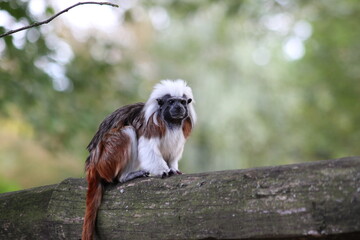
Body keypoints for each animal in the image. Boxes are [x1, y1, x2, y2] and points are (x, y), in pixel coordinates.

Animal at [81, 79, 195, 239]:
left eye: (182, 102)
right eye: (171, 102)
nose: (178, 107)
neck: (170, 123)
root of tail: (92, 164)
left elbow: (172, 153)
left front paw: (173, 168)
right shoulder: (151, 126)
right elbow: (148, 148)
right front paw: (163, 171)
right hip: (106, 160)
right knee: (127, 131)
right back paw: (126, 176)